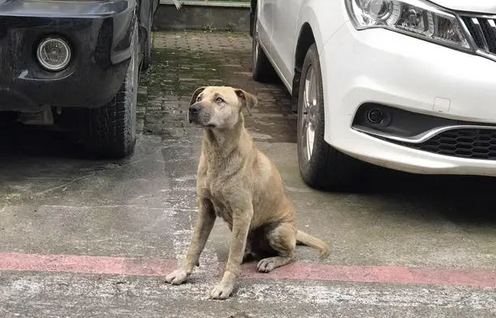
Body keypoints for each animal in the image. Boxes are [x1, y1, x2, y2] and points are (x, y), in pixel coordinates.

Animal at [165, 86, 332, 298]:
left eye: (219, 100)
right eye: (200, 97)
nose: (192, 109)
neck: (217, 152)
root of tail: (295, 230)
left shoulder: (242, 213)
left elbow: (233, 257)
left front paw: (225, 286)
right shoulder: (205, 208)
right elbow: (195, 245)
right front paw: (182, 273)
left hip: (275, 230)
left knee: (290, 255)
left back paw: (270, 261)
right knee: (246, 247)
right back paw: (248, 253)